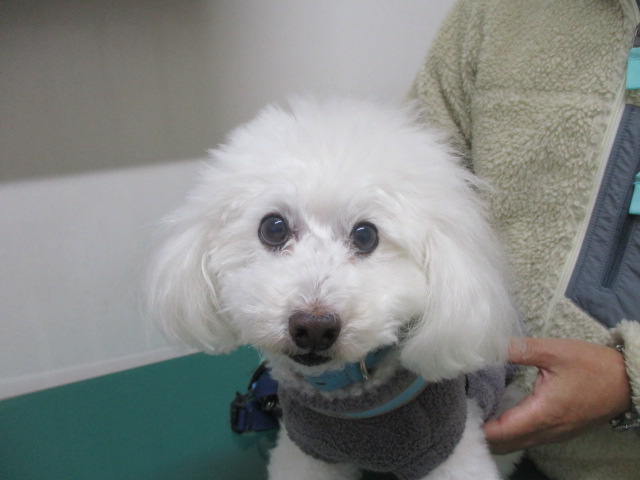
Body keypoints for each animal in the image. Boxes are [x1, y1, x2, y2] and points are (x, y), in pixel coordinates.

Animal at [147, 98, 521, 480]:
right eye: (273, 228)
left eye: (366, 235)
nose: (313, 327)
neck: (350, 403)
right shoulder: (310, 452)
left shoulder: (447, 447)